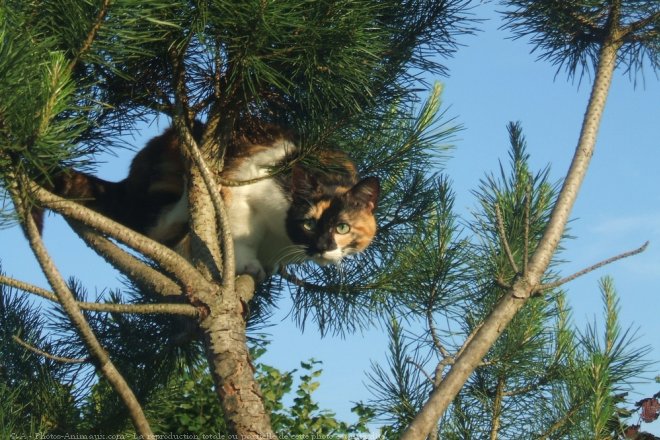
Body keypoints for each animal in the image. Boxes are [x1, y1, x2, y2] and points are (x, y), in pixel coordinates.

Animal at [41, 125, 378, 280]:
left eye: (343, 227)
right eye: (308, 223)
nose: (322, 246)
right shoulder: (244, 187)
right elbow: (241, 234)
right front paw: (248, 263)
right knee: (155, 226)